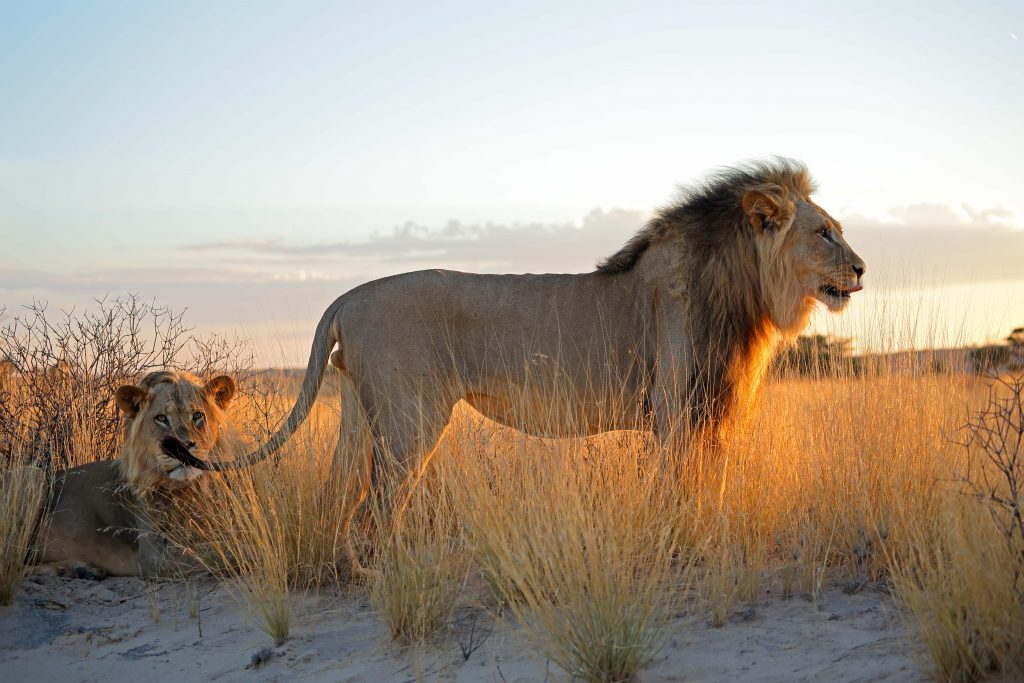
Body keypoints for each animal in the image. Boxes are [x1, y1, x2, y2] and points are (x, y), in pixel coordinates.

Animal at [27, 370, 237, 581]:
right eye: (161, 418)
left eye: (197, 416)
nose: (183, 446)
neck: (186, 488)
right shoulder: (154, 556)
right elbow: (220, 551)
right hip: (36, 474)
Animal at [174, 156, 864, 577]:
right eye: (825, 232)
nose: (862, 268)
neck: (745, 291)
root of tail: (350, 294)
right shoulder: (676, 409)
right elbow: (681, 491)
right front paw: (684, 548)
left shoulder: (708, 410)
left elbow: (710, 488)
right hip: (410, 419)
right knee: (378, 506)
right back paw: (386, 578)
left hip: (358, 417)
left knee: (336, 497)